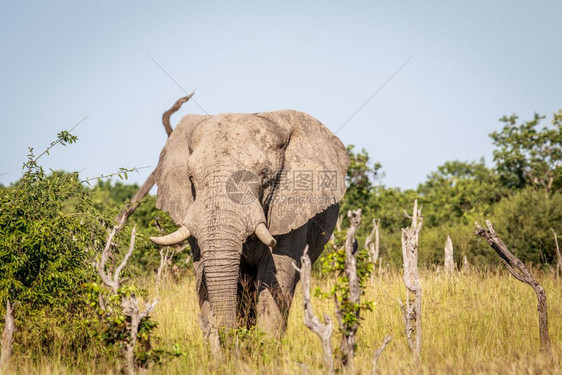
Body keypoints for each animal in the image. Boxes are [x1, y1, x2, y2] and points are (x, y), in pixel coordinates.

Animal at [151, 109, 348, 346]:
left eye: (264, 175)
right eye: (190, 177)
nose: (226, 336)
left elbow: (275, 276)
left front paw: (265, 351)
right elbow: (205, 274)